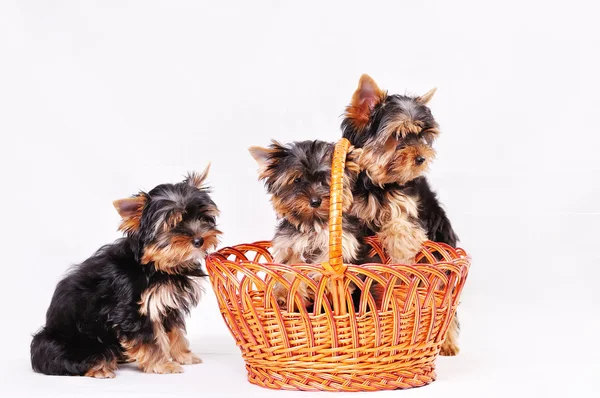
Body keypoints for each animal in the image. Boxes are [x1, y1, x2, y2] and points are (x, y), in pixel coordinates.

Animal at [29, 166, 220, 378]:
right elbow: (150, 338)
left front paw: (183, 355)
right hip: (64, 342)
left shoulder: (165, 303)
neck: (154, 265)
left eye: (202, 217)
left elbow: (173, 330)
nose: (199, 240)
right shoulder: (132, 310)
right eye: (172, 225)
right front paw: (163, 365)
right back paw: (100, 366)